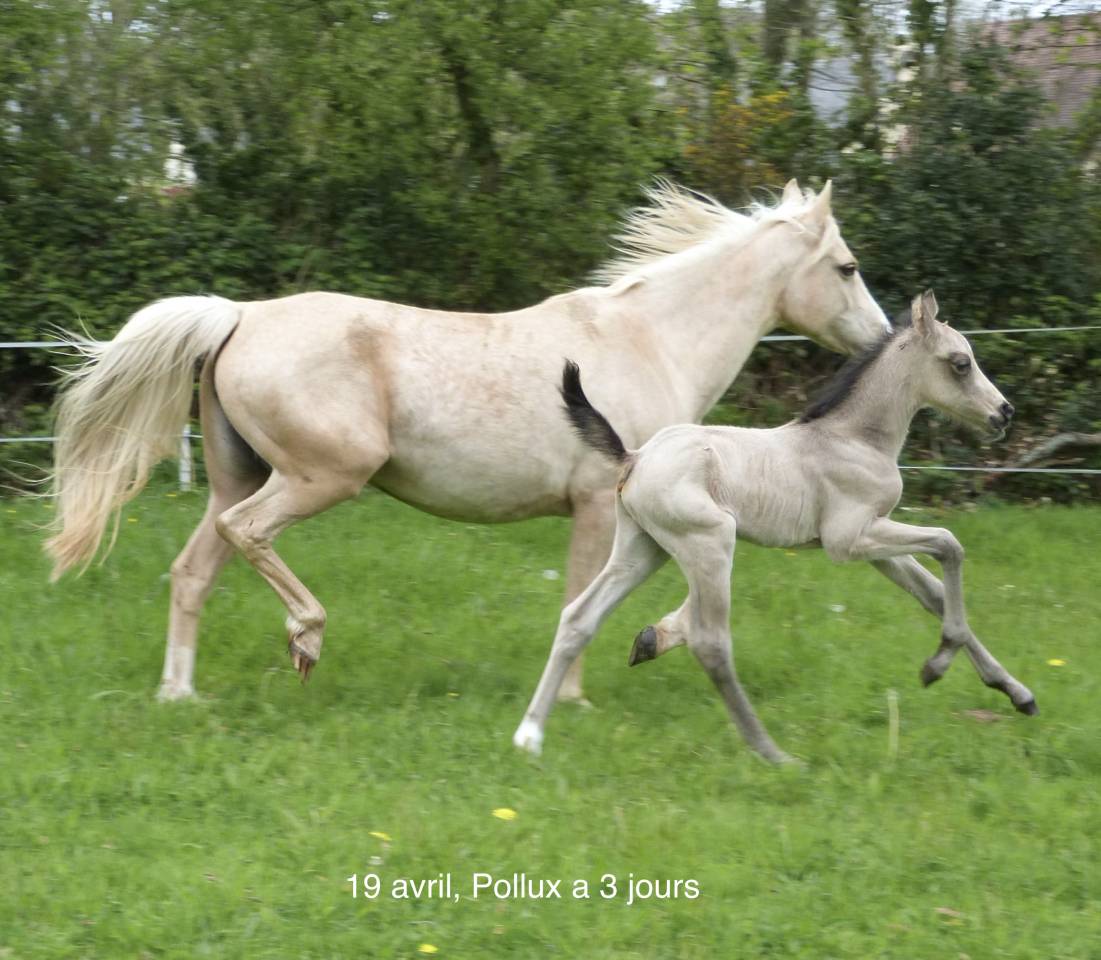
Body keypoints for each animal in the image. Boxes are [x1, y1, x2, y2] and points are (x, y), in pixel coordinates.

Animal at [45, 179, 890, 704]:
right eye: (847, 267)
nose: (882, 340)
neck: (648, 341)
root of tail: (238, 316)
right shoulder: (604, 505)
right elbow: (585, 600)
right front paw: (574, 698)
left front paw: (647, 643)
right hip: (321, 477)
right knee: (244, 534)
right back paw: (305, 640)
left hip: (240, 474)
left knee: (193, 570)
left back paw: (179, 693)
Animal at [513, 291, 1036, 763]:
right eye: (960, 363)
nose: (1004, 413)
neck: (852, 439)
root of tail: (634, 457)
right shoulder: (849, 540)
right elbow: (950, 545)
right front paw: (936, 666)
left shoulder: (875, 541)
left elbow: (933, 593)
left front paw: (1016, 692)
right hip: (709, 541)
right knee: (710, 643)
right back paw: (773, 753)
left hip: (643, 549)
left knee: (578, 617)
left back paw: (530, 736)